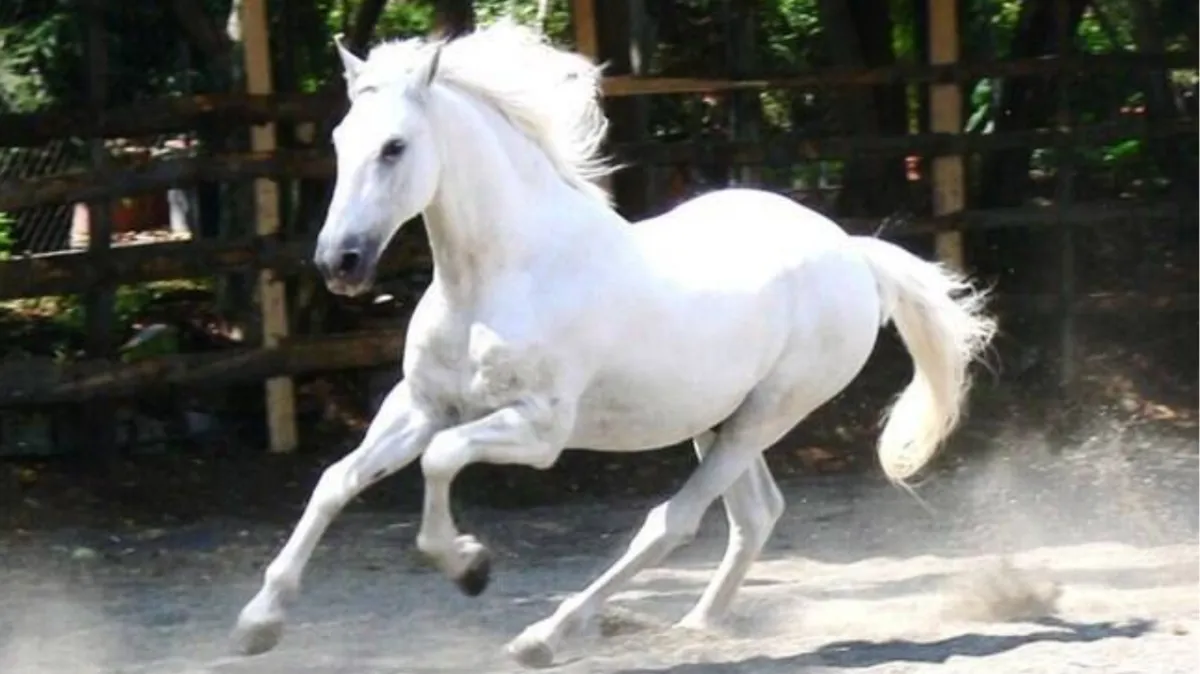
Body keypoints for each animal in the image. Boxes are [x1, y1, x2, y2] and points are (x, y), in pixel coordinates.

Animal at [231, 20, 997, 668]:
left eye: (395, 147)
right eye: (339, 141)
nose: (340, 262)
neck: (497, 276)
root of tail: (853, 253)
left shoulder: (538, 430)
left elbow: (441, 461)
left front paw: (469, 566)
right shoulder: (420, 405)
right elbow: (336, 481)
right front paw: (257, 624)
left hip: (768, 413)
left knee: (673, 522)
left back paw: (545, 636)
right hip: (715, 419)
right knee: (754, 514)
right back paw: (698, 623)